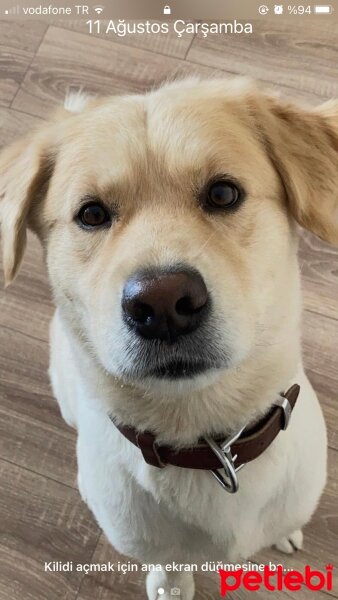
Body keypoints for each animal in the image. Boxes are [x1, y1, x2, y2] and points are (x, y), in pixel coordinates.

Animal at [0, 77, 338, 596]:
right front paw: (170, 584)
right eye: (91, 214)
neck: (208, 447)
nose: (162, 305)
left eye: (223, 193)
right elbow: (171, 565)